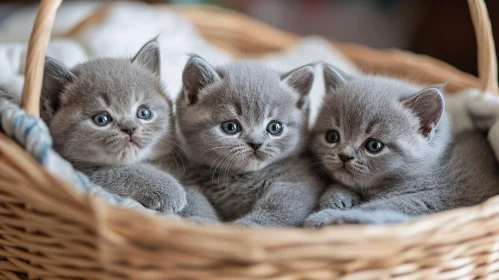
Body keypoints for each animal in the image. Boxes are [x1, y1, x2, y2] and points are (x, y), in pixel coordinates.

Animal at [41, 38, 188, 213]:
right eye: (101, 119)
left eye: (144, 113)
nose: (130, 128)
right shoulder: (79, 171)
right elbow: (121, 172)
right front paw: (168, 188)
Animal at [176, 55, 324, 228]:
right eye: (230, 127)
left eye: (275, 127)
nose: (256, 143)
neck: (240, 179)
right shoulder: (190, 176)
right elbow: (191, 199)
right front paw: (201, 221)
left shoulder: (300, 182)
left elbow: (281, 210)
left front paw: (242, 226)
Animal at [304, 63, 499, 225]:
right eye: (332, 137)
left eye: (374, 146)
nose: (344, 156)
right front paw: (335, 197)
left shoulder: (430, 198)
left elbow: (374, 207)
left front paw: (324, 217)